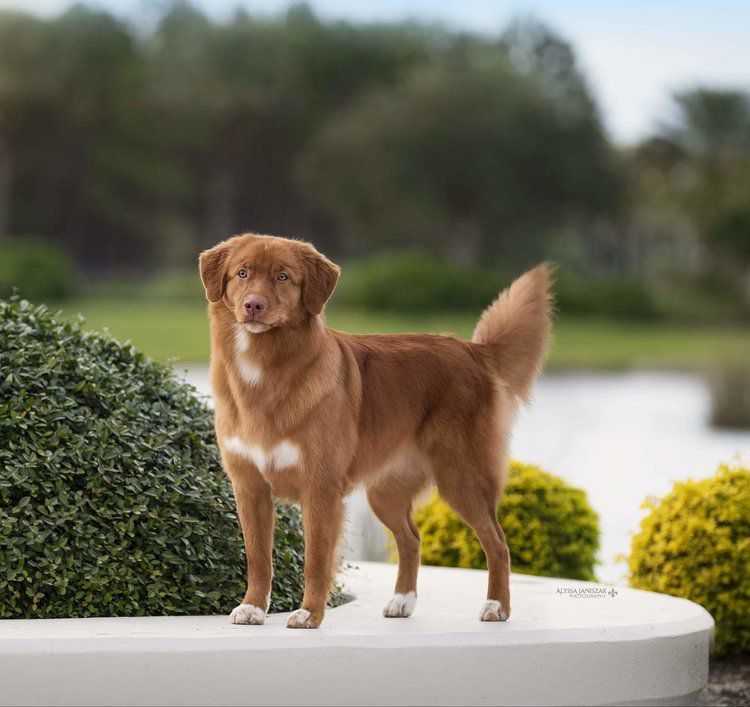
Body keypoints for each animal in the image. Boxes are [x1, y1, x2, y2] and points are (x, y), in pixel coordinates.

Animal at [200, 234, 552, 632]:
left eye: (283, 276)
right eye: (242, 273)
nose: (253, 305)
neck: (263, 371)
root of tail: (474, 351)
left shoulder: (320, 489)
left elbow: (316, 559)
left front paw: (309, 614)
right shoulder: (250, 487)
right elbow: (258, 558)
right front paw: (253, 608)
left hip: (461, 479)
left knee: (498, 542)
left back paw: (496, 606)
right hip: (385, 493)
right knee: (412, 539)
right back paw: (402, 601)